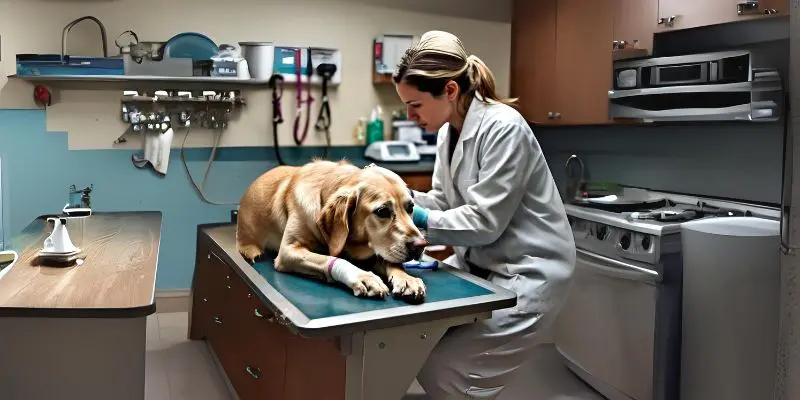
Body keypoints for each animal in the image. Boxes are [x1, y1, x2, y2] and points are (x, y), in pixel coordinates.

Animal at [234, 158, 428, 302]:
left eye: (411, 207)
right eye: (382, 211)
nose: (421, 245)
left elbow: (390, 261)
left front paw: (406, 278)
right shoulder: (288, 251)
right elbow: (330, 259)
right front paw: (363, 277)